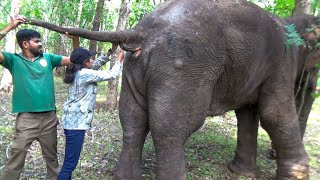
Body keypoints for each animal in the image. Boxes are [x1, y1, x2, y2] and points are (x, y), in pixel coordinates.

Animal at [26, 0, 320, 179]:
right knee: (171, 128)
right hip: (183, 68)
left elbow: (248, 113)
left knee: (133, 122)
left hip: (139, 68)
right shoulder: (280, 62)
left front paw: (241, 172)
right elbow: (274, 114)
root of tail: (139, 31)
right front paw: (298, 175)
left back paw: (126, 176)